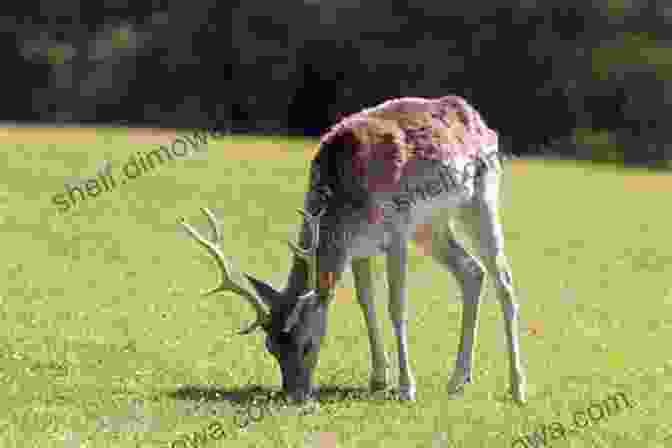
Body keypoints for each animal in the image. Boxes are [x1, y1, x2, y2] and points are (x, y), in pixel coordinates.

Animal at [181, 94, 528, 402]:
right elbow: (366, 303)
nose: (294, 394)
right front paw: (378, 379)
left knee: (504, 279)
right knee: (472, 271)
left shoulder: (398, 229)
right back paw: (457, 380)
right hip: (432, 226)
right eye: (270, 347)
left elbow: (396, 306)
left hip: (480, 199)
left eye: (307, 344)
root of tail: (481, 123)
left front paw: (406, 388)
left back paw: (517, 388)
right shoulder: (360, 247)